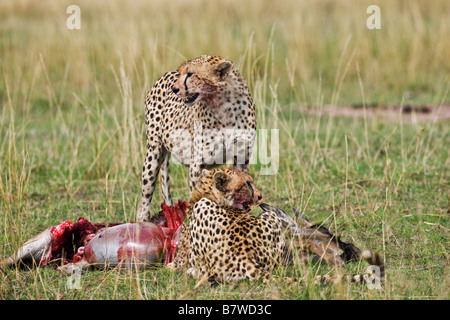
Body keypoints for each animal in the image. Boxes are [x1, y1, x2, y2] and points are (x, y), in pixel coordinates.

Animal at [137, 55, 256, 222]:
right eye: (181, 74)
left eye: (191, 74)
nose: (174, 89)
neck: (224, 107)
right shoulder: (196, 165)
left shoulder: (241, 160)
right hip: (153, 154)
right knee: (144, 202)